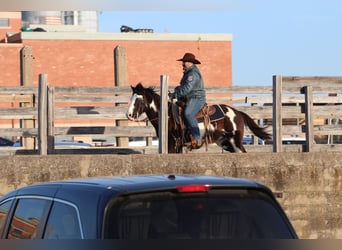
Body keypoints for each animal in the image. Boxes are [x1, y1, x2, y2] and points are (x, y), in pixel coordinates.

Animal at [125, 83, 270, 152]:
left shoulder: (173, 144)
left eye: (138, 100)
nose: (128, 115)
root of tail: (237, 112)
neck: (168, 115)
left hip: (236, 141)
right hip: (225, 142)